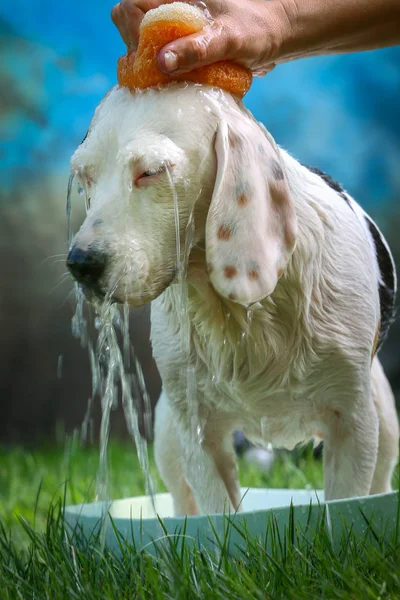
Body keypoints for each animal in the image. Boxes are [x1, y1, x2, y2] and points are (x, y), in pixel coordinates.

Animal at [67, 83, 398, 516]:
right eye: (84, 176)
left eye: (151, 172)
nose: (80, 264)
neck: (240, 312)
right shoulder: (196, 430)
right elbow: (219, 514)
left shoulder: (352, 424)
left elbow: (344, 504)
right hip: (168, 435)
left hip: (384, 423)